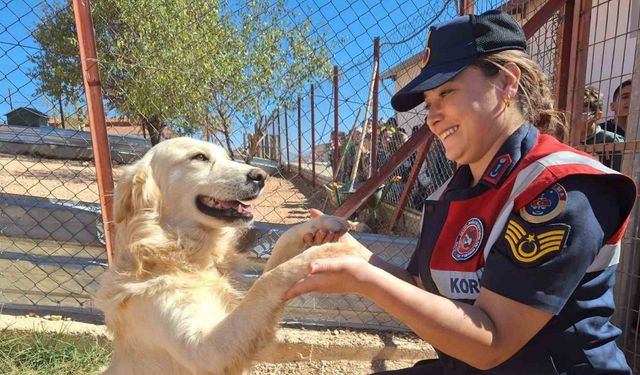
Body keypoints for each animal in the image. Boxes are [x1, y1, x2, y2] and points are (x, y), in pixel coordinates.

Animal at [97, 138, 362, 375]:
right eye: (199, 157)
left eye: (226, 157)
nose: (260, 176)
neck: (185, 253)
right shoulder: (206, 351)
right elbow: (269, 280)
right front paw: (326, 252)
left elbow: (277, 256)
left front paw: (320, 225)